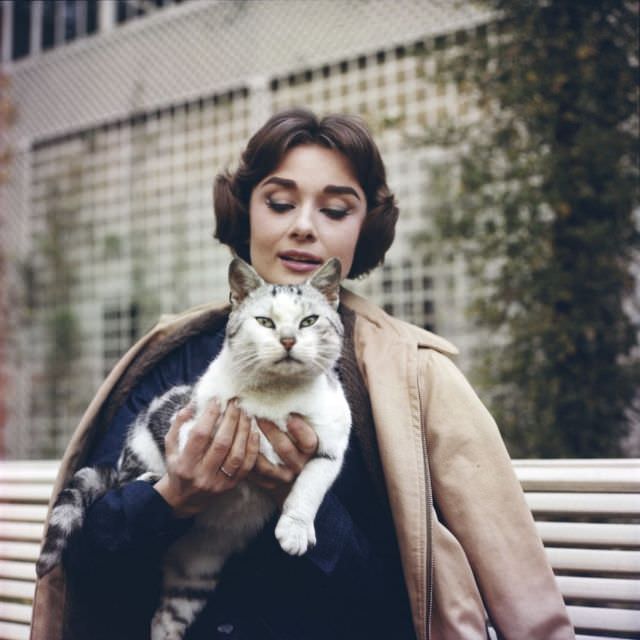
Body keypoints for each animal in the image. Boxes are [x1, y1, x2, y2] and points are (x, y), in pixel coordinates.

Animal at [37, 258, 352, 640]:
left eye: (309, 321)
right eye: (265, 321)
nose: (288, 340)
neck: (278, 395)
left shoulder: (332, 446)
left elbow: (309, 487)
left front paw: (295, 529)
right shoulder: (191, 417)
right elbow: (198, 438)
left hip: (194, 577)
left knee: (163, 621)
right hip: (141, 446)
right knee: (124, 481)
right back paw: (150, 478)